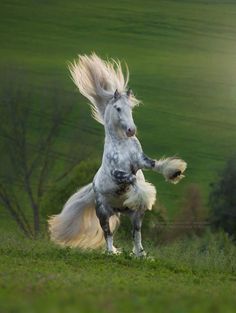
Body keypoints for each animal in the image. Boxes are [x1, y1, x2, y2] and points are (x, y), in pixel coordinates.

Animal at [48, 53, 187, 256]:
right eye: (118, 108)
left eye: (131, 108)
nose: (131, 130)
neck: (122, 144)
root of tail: (93, 186)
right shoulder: (117, 173)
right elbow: (132, 179)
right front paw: (145, 195)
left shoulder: (140, 161)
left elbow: (155, 165)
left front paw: (175, 172)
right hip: (103, 213)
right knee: (108, 234)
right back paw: (111, 252)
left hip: (135, 215)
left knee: (136, 233)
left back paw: (140, 254)